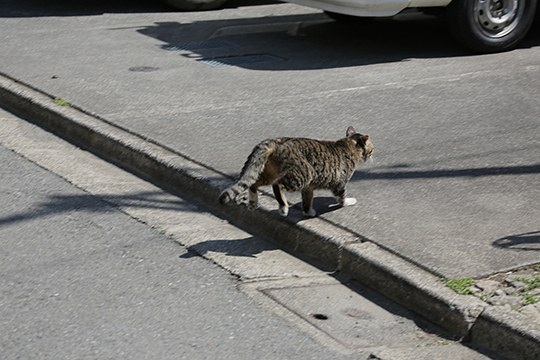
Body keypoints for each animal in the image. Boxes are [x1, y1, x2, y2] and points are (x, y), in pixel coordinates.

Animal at [217, 126, 374, 217]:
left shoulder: (308, 188)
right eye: (372, 149)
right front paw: (347, 202)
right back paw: (283, 207)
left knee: (254, 183)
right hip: (302, 174)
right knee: (277, 186)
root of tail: (276, 141)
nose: (372, 154)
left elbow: (307, 201)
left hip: (268, 172)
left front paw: (308, 212)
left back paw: (253, 202)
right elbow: (341, 198)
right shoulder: (339, 184)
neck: (348, 145)